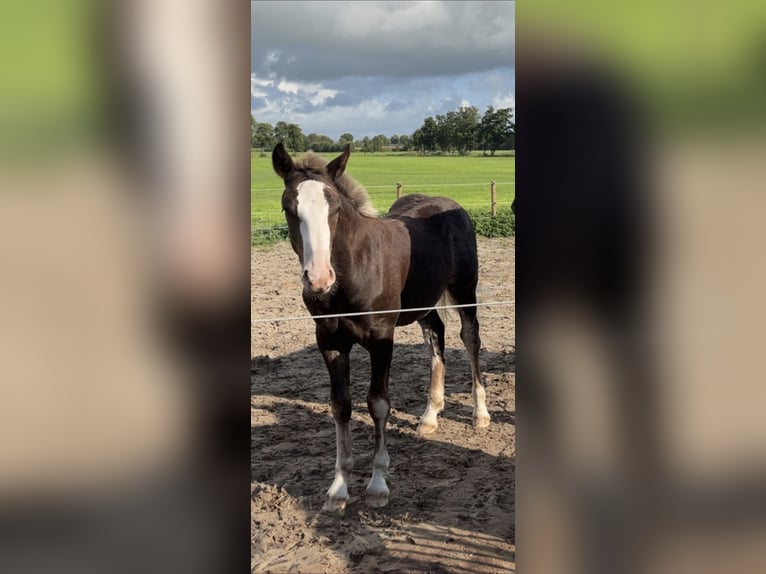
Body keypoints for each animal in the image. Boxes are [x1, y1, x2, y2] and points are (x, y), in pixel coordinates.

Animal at [271, 142, 490, 510]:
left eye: (335, 208)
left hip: (464, 290)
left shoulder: (381, 338)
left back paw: (481, 413)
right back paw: (430, 416)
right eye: (289, 208)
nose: (318, 279)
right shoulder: (329, 341)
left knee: (470, 338)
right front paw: (338, 489)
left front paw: (377, 485)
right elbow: (341, 405)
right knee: (436, 336)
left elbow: (378, 403)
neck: (352, 271)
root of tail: (451, 205)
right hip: (421, 301)